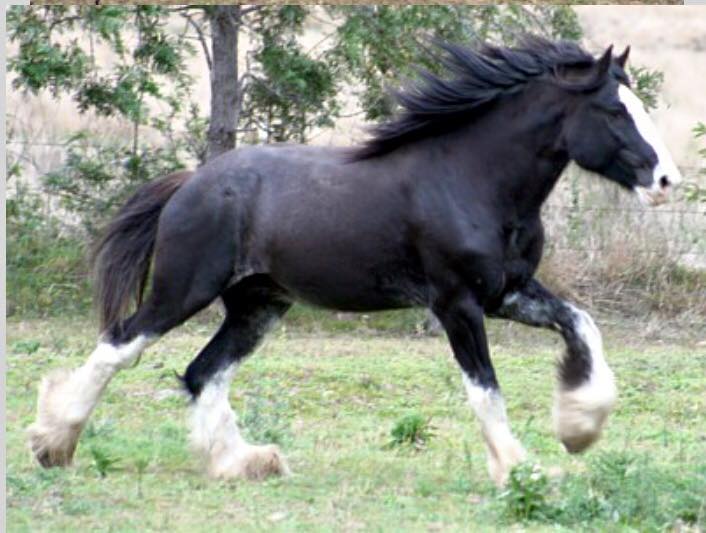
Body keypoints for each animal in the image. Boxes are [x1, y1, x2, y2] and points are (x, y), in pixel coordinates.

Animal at [27, 36, 676, 486]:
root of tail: (192, 182)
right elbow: (485, 388)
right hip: (182, 290)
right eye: (616, 111)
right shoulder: (457, 303)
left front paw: (579, 429)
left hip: (259, 305)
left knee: (201, 372)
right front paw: (521, 469)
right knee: (119, 346)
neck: (471, 181)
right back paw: (52, 443)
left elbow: (582, 324)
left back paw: (245, 462)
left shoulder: (508, 293)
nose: (667, 180)